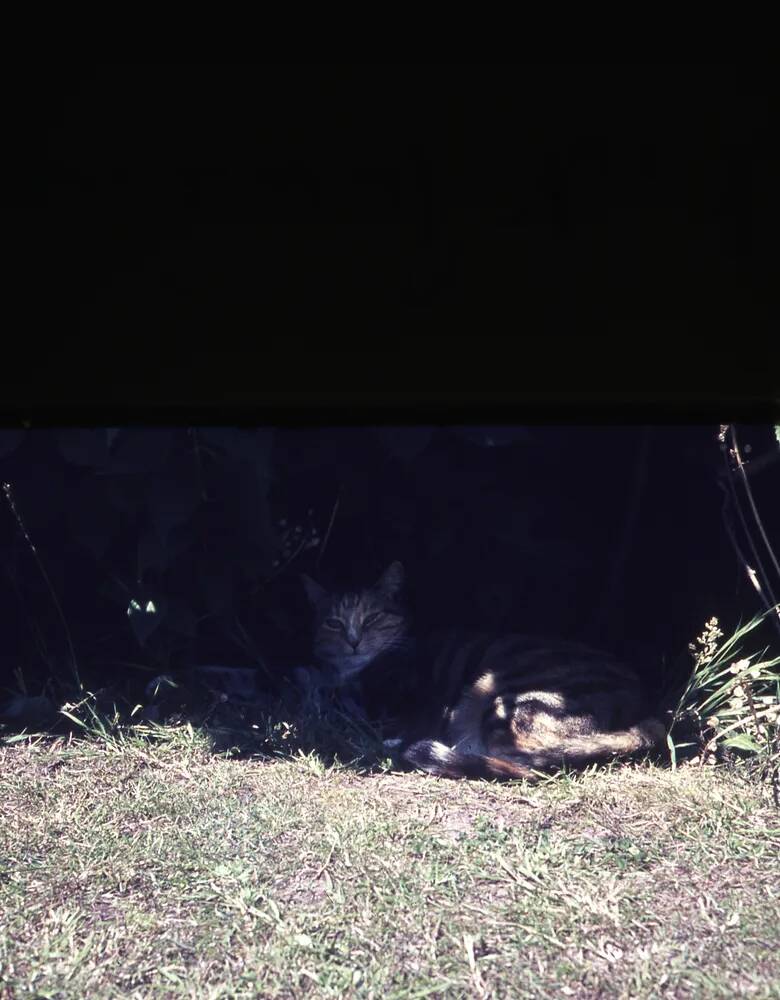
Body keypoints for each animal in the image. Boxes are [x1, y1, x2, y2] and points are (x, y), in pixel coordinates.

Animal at [302, 564, 668, 780]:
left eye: (373, 618)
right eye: (333, 623)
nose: (353, 641)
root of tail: (646, 714)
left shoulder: (415, 701)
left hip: (509, 699)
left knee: (524, 763)